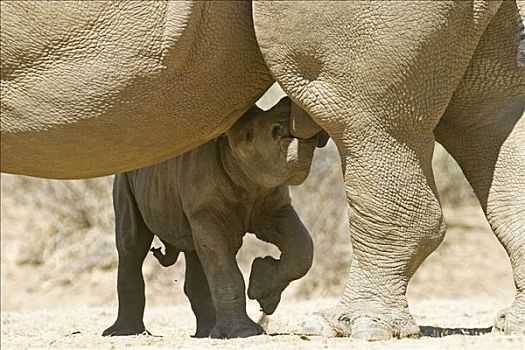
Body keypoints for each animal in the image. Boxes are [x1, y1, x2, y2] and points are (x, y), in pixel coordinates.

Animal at [102, 97, 322, 338]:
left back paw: (206, 333)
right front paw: (243, 332)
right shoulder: (207, 210)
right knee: (132, 245)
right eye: (249, 136)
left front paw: (262, 291)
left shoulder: (274, 206)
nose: (285, 122)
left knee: (194, 249)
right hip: (124, 176)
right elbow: (223, 264)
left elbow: (302, 247)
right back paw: (122, 333)